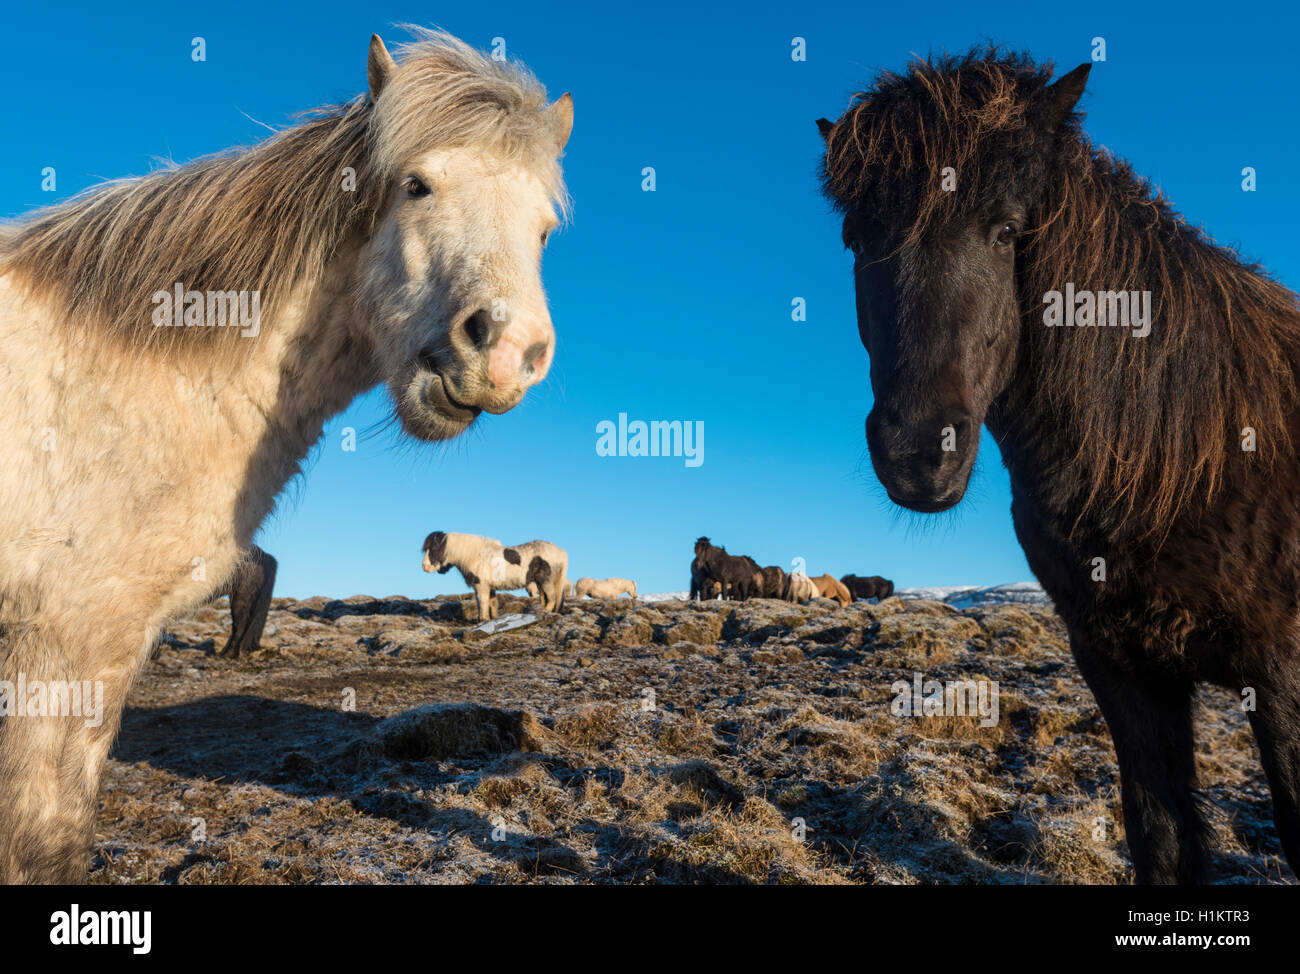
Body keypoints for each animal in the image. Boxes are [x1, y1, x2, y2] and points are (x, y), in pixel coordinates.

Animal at [821, 47, 1300, 879]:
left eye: (1007, 231)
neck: (1191, 456)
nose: (918, 451)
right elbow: (1161, 836)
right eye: (856, 239)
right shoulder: (1123, 669)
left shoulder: (1283, 679)